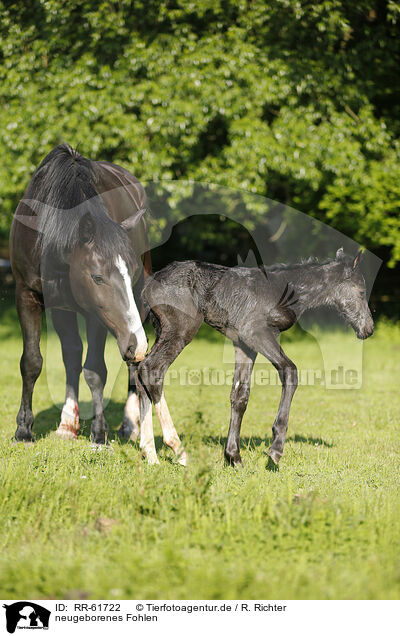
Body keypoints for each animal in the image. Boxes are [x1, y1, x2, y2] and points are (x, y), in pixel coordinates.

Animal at [10, 143, 152, 444]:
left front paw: (99, 435)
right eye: (97, 277)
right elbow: (32, 362)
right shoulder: (27, 295)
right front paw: (24, 430)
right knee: (72, 354)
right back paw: (67, 423)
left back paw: (130, 425)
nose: (135, 343)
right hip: (62, 308)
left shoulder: (95, 312)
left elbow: (96, 370)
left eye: (131, 270)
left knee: (134, 365)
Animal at [138, 250, 376, 468]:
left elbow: (240, 395)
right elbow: (290, 371)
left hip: (162, 330)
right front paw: (275, 450)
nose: (369, 329)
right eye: (362, 291)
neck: (286, 289)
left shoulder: (243, 344)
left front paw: (233, 457)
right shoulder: (255, 333)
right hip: (181, 328)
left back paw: (150, 455)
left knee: (140, 373)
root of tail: (148, 286)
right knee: (153, 369)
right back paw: (177, 449)